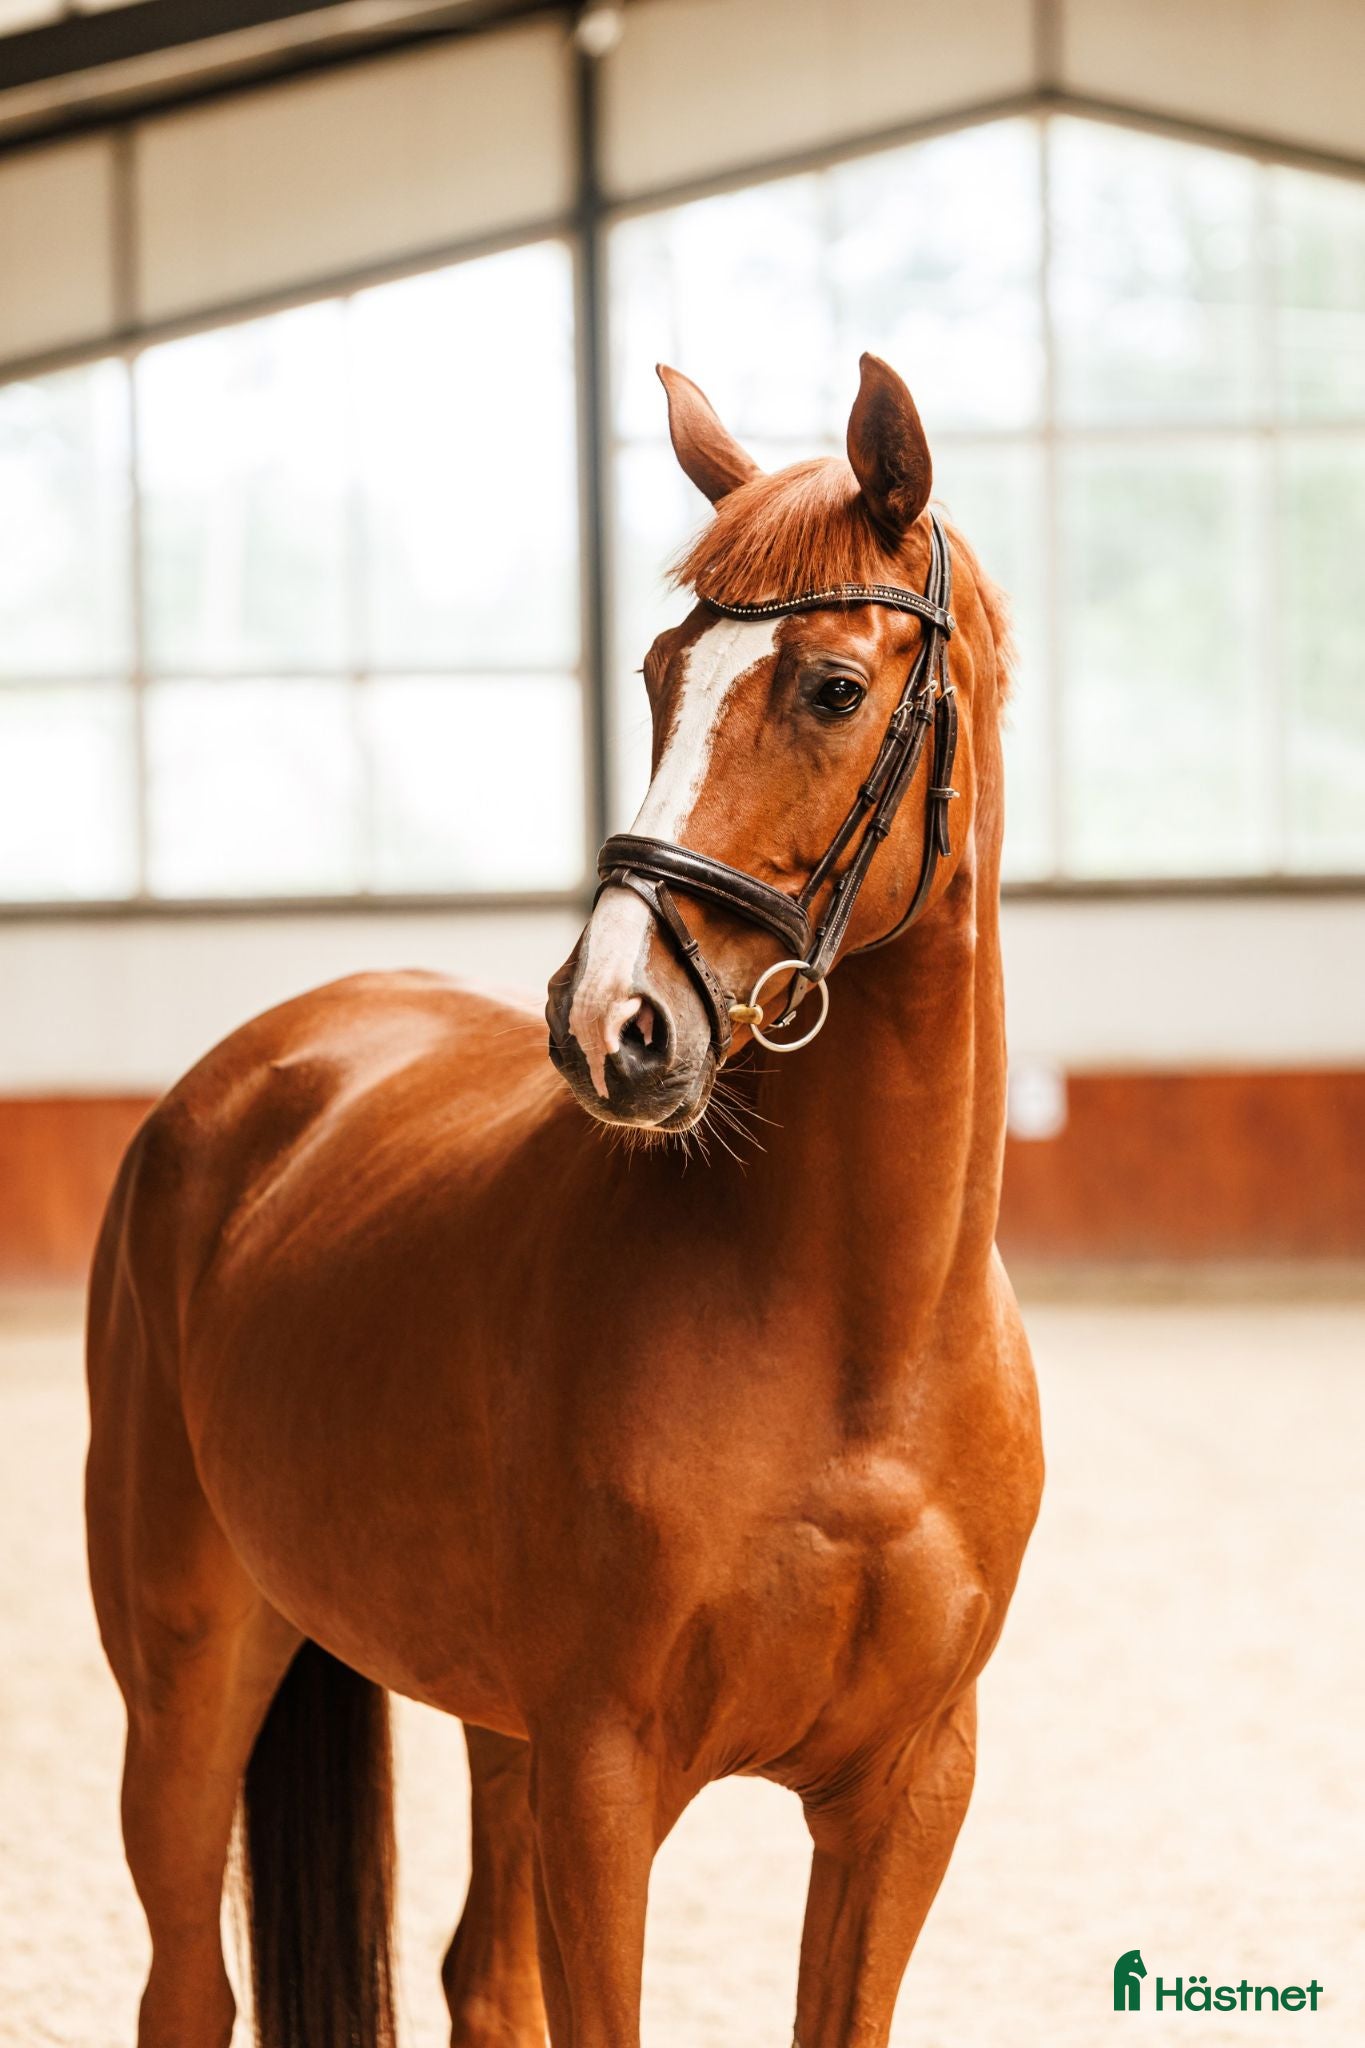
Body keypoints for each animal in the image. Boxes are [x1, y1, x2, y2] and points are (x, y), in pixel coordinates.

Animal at [86, 351, 1043, 2048]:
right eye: (661, 672)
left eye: (832, 687)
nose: (611, 1023)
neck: (861, 1351)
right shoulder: (604, 1786)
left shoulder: (906, 1791)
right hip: (191, 1674)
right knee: (186, 1983)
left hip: (490, 1720)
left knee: (479, 1982)